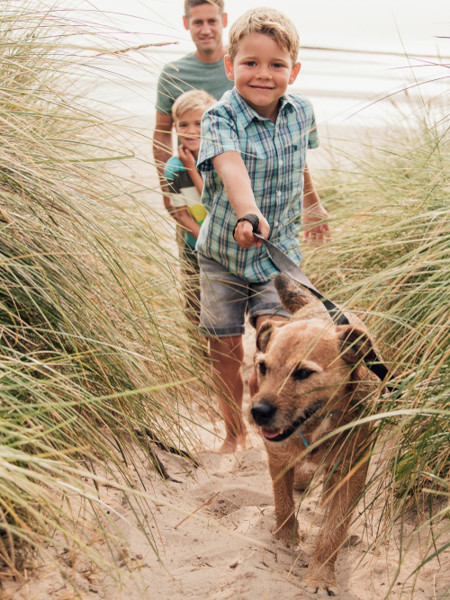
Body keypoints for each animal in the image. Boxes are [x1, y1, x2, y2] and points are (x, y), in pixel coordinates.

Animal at [251, 276, 384, 596]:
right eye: (262, 367)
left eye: (303, 373)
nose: (258, 412)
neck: (315, 427)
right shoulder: (278, 456)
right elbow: (283, 500)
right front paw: (286, 537)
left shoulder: (352, 473)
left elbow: (334, 530)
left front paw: (320, 575)